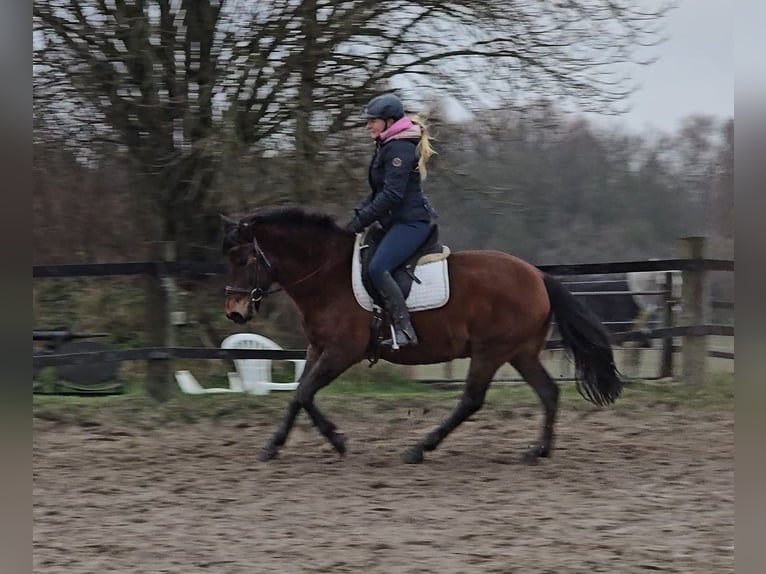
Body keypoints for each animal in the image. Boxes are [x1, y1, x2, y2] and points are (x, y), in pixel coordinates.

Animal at [220, 209, 624, 466]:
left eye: (243, 259)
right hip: (520, 352)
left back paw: (420, 448)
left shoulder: (342, 350)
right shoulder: (318, 348)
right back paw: (538, 450)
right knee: (548, 392)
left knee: (471, 400)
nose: (234, 311)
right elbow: (298, 397)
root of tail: (538, 276)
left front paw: (337, 440)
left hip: (491, 350)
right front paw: (274, 446)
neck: (327, 274)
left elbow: (304, 393)